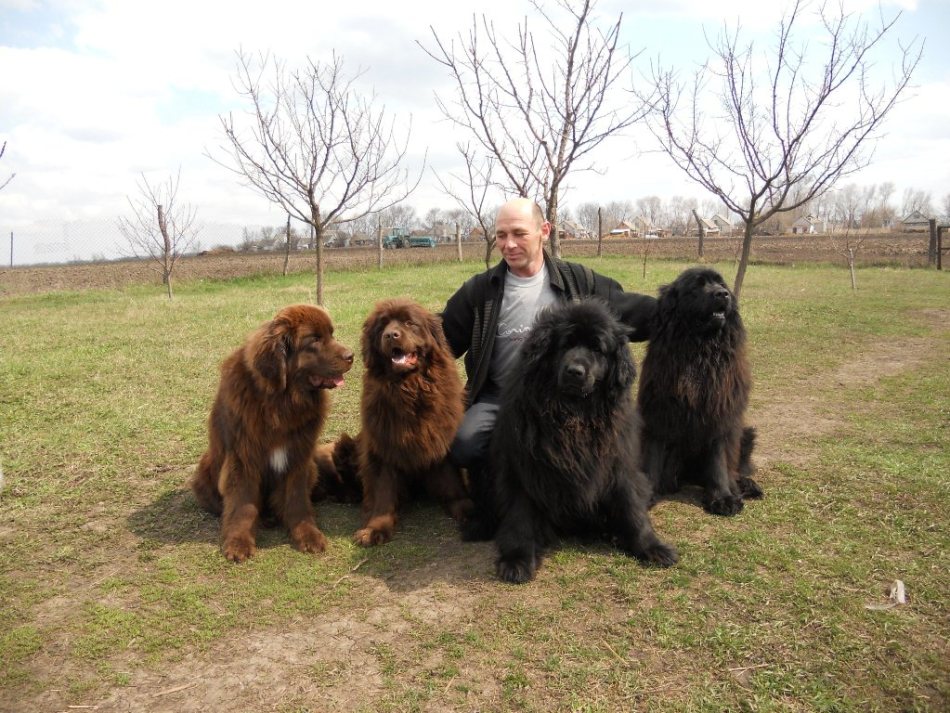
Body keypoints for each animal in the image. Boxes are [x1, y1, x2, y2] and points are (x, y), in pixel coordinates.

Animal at [192, 306, 356, 560]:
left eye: (331, 334)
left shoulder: (299, 456)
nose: (352, 355)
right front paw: (238, 542)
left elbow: (297, 500)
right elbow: (242, 506)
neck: (281, 401)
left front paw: (308, 534)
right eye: (314, 340)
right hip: (205, 468)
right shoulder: (243, 458)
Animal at [352, 296, 470, 544]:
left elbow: (452, 481)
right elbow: (383, 493)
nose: (391, 335)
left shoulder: (441, 439)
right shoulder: (384, 446)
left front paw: (464, 507)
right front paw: (376, 528)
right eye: (382, 327)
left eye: (409, 323)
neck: (409, 389)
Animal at [488, 298, 680, 580]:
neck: (574, 415)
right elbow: (519, 515)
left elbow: (632, 507)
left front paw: (651, 547)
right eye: (565, 344)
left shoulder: (617, 463)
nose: (575, 371)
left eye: (597, 349)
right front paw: (517, 560)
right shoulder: (522, 468)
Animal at [640, 264, 768, 516]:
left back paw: (745, 485)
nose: (723, 294)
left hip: (746, 432)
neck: (699, 350)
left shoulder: (720, 414)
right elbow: (652, 457)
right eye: (697, 287)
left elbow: (718, 460)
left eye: (721, 284)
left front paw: (723, 498)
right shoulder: (658, 413)